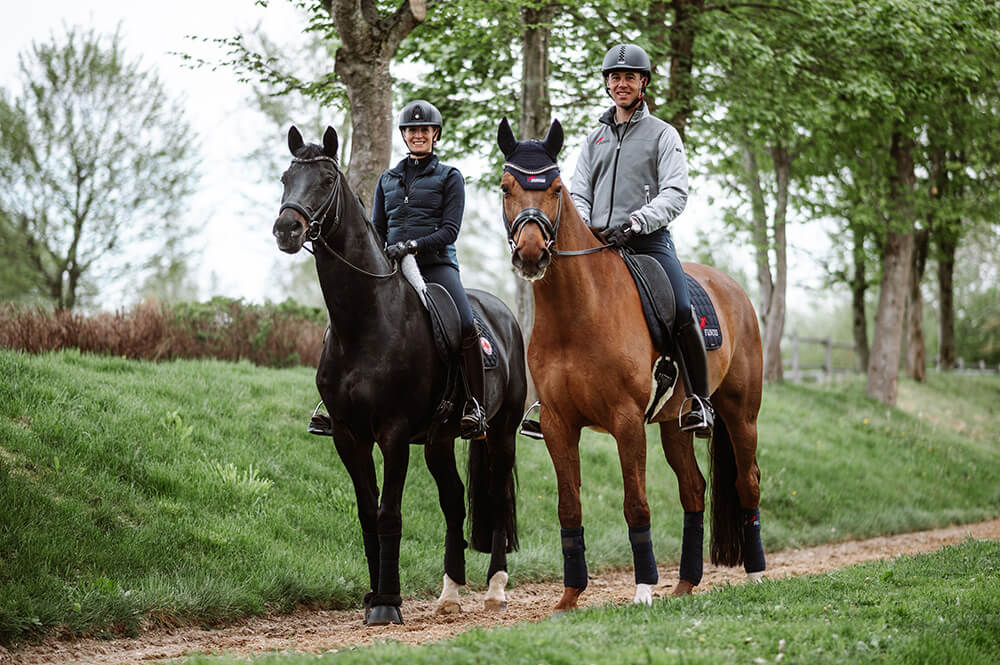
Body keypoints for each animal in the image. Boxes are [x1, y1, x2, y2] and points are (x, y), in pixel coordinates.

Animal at [270, 127, 528, 624]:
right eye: (285, 177)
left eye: (327, 179)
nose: (286, 229)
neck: (366, 321)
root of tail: (501, 313)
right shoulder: (348, 435)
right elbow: (368, 513)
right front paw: (374, 596)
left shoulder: (392, 434)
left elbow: (389, 512)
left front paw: (388, 603)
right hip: (439, 440)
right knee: (454, 499)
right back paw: (450, 593)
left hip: (501, 431)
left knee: (497, 496)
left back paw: (495, 588)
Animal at [500, 116, 764, 608]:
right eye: (506, 187)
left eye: (556, 189)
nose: (531, 254)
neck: (577, 313)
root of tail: (732, 287)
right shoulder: (559, 424)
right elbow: (569, 506)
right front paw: (568, 598)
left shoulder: (625, 421)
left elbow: (635, 502)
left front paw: (642, 591)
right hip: (673, 425)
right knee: (693, 490)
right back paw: (684, 584)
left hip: (742, 415)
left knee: (747, 482)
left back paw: (755, 575)